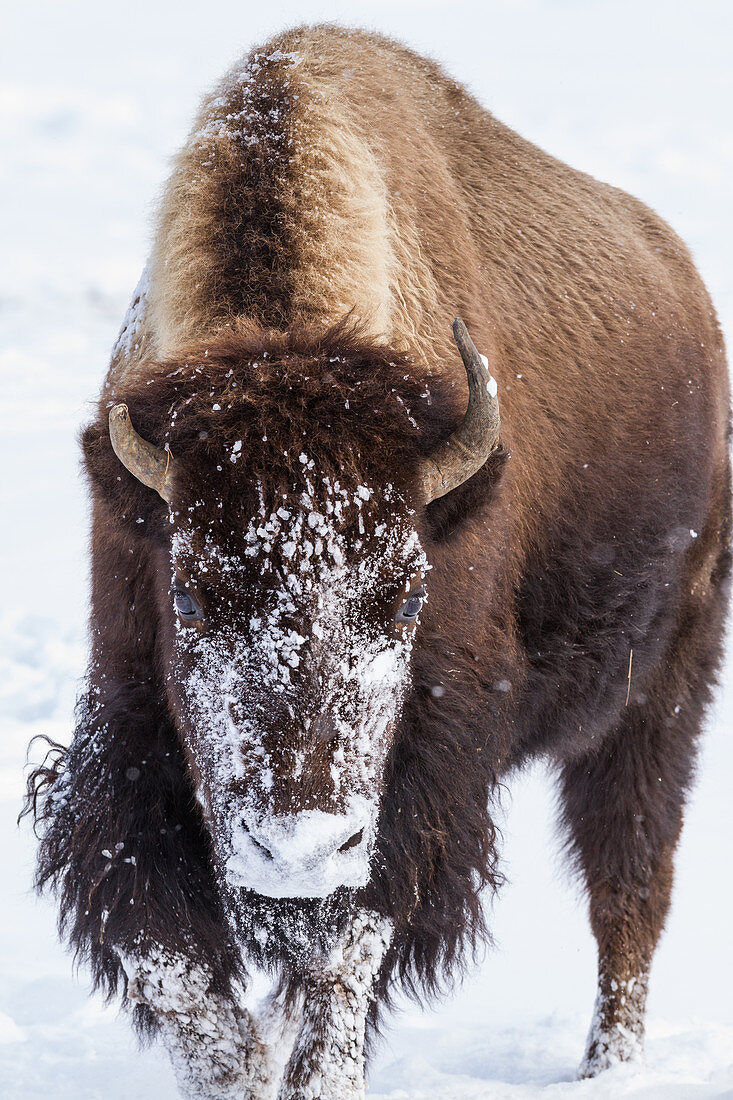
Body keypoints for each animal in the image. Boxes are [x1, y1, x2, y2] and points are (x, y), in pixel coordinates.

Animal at [25, 19, 726, 1100]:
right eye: (188, 596)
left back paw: (604, 1065)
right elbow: (175, 961)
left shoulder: (423, 776)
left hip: (658, 695)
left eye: (402, 599)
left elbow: (351, 950)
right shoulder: (128, 717)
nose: (299, 851)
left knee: (628, 886)